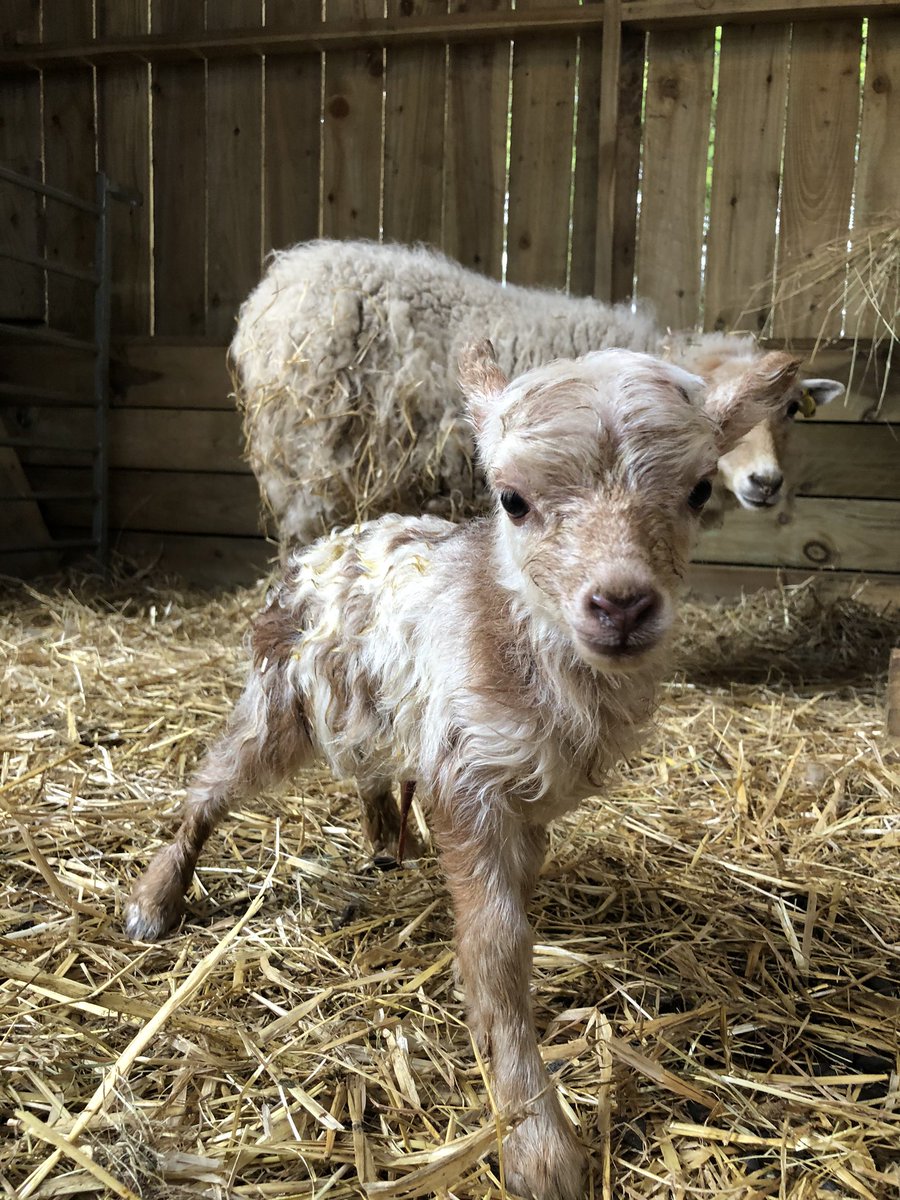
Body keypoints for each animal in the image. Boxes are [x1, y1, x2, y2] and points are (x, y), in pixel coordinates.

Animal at [126, 342, 802, 1200]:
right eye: (511, 499)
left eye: (698, 488)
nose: (621, 605)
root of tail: (327, 543)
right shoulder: (466, 777)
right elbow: (497, 944)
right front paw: (536, 1139)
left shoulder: (524, 795)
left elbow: (515, 897)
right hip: (278, 698)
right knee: (212, 785)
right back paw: (156, 899)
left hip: (374, 705)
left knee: (370, 769)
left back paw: (388, 842)